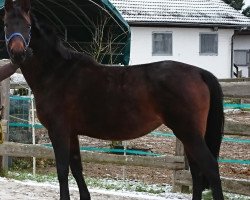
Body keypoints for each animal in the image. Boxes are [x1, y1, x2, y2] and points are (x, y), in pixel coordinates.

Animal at [1, 0, 225, 199]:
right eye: (6, 24)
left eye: (28, 26)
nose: (18, 53)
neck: (57, 72)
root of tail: (199, 72)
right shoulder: (71, 133)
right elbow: (77, 168)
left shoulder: (59, 130)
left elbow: (63, 170)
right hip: (189, 135)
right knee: (196, 172)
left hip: (188, 133)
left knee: (210, 168)